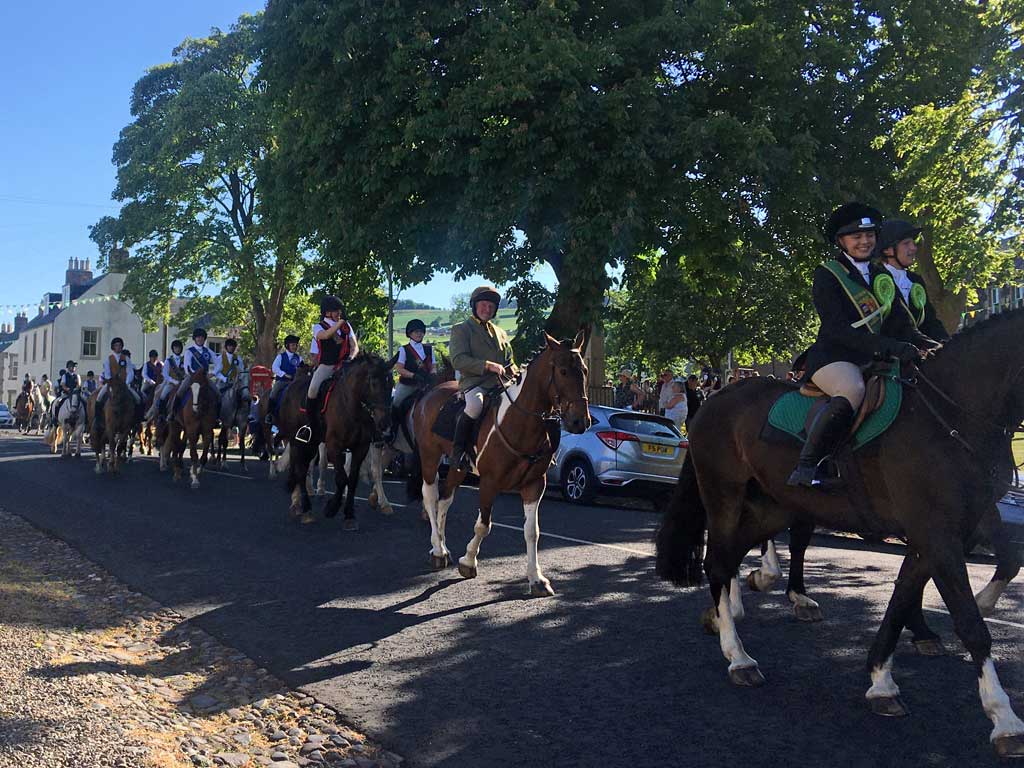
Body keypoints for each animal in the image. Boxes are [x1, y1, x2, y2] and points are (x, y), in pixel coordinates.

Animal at [286, 354, 393, 528]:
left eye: (391, 383)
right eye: (373, 382)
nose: (385, 423)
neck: (351, 406)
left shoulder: (361, 448)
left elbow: (352, 479)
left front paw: (349, 515)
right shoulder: (333, 446)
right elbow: (342, 478)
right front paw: (332, 507)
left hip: (311, 444)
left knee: (303, 468)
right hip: (299, 443)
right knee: (301, 469)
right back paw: (303, 507)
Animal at [403, 333, 589, 598]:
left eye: (584, 370)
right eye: (563, 371)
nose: (580, 421)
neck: (519, 422)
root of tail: (432, 391)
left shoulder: (534, 485)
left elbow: (532, 531)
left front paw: (537, 579)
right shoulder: (489, 483)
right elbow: (483, 526)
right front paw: (468, 562)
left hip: (458, 467)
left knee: (445, 500)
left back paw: (442, 546)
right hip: (430, 457)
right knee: (430, 497)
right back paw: (438, 550)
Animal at [655, 309, 1024, 761]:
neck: (953, 416)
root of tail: (716, 398)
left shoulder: (945, 532)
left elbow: (904, 598)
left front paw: (882, 681)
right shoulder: (938, 535)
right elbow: (969, 622)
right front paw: (1004, 718)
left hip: (774, 506)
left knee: (735, 556)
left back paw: (737, 607)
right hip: (725, 494)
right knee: (719, 562)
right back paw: (739, 657)